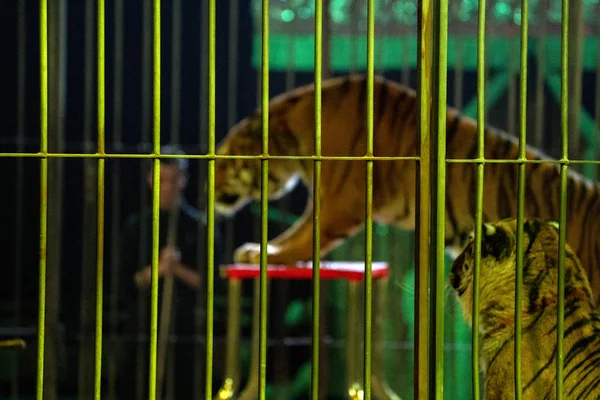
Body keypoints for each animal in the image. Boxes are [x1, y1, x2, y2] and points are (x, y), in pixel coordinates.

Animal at [212, 73, 600, 302]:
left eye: (223, 160)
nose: (206, 189)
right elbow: (301, 230)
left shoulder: (342, 199)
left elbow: (306, 235)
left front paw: (264, 254)